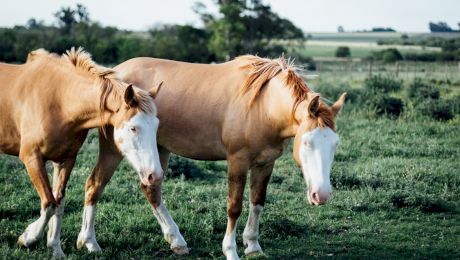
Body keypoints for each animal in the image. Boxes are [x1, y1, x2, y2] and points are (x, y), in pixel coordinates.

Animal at [0, 47, 164, 256]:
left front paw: (55, 249)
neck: (59, 101)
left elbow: (58, 203)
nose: (155, 176)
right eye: (133, 128)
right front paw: (28, 238)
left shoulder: (65, 160)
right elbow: (49, 204)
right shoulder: (31, 157)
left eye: (156, 126)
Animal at [76, 54, 344, 258]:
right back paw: (89, 241)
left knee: (151, 189)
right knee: (94, 184)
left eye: (335, 144)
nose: (321, 195)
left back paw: (176, 240)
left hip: (158, 149)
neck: (263, 106)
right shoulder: (237, 162)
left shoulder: (266, 163)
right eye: (307, 142)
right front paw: (231, 250)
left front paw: (253, 245)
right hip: (113, 149)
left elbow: (257, 202)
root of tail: (113, 75)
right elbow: (234, 207)